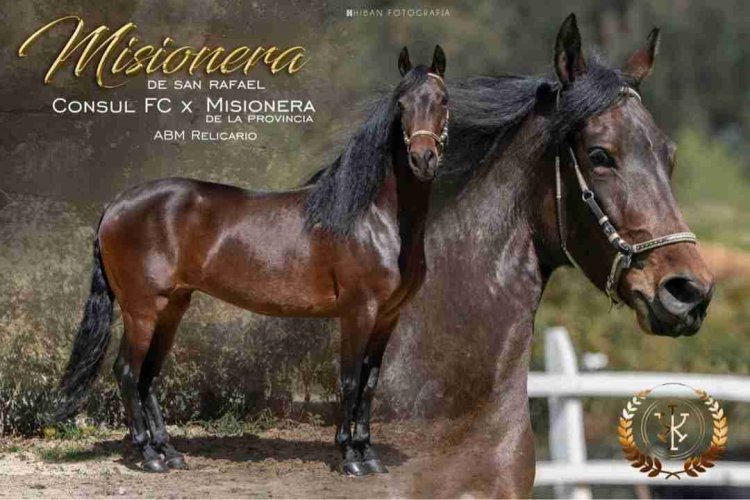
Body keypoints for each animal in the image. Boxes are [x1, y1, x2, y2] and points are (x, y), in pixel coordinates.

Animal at [55, 45, 449, 477]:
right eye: (401, 104)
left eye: (443, 100)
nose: (423, 158)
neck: (372, 216)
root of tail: (115, 205)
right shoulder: (358, 310)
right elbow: (349, 380)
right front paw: (350, 457)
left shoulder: (387, 316)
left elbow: (370, 383)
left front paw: (369, 454)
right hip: (141, 308)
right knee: (127, 372)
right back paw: (148, 455)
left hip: (171, 307)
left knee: (148, 376)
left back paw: (169, 452)